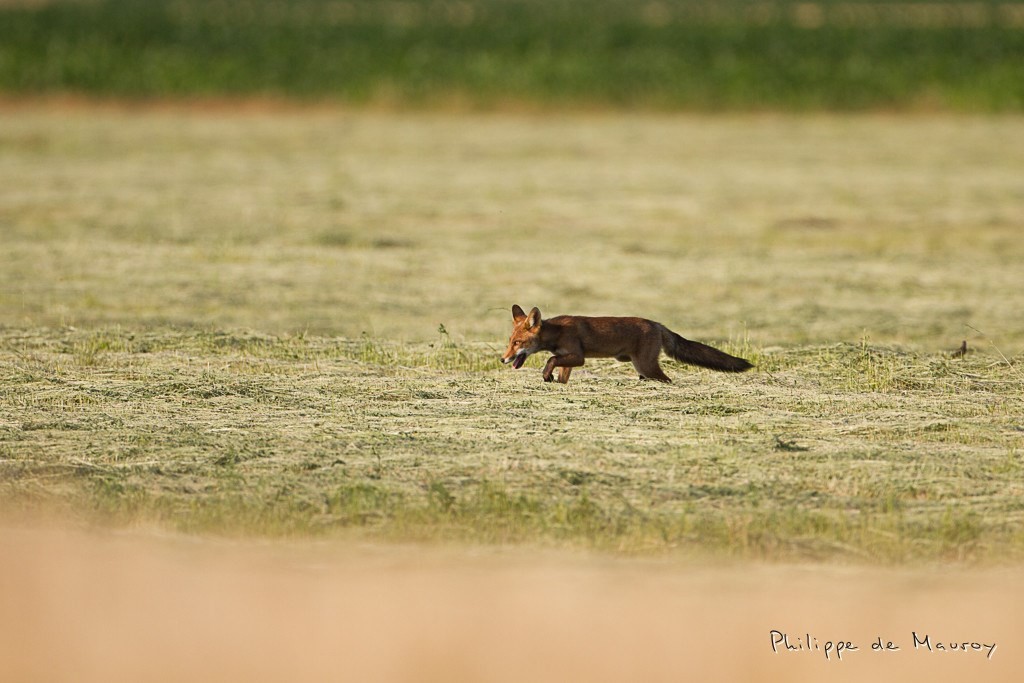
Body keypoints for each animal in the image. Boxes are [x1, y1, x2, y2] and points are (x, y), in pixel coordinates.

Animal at [501, 304, 752, 384]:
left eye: (517, 343)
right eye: (509, 342)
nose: (502, 359)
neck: (558, 332)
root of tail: (658, 324)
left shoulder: (578, 357)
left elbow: (550, 359)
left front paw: (546, 376)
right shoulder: (570, 360)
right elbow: (560, 372)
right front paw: (554, 381)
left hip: (646, 366)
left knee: (668, 380)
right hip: (643, 368)